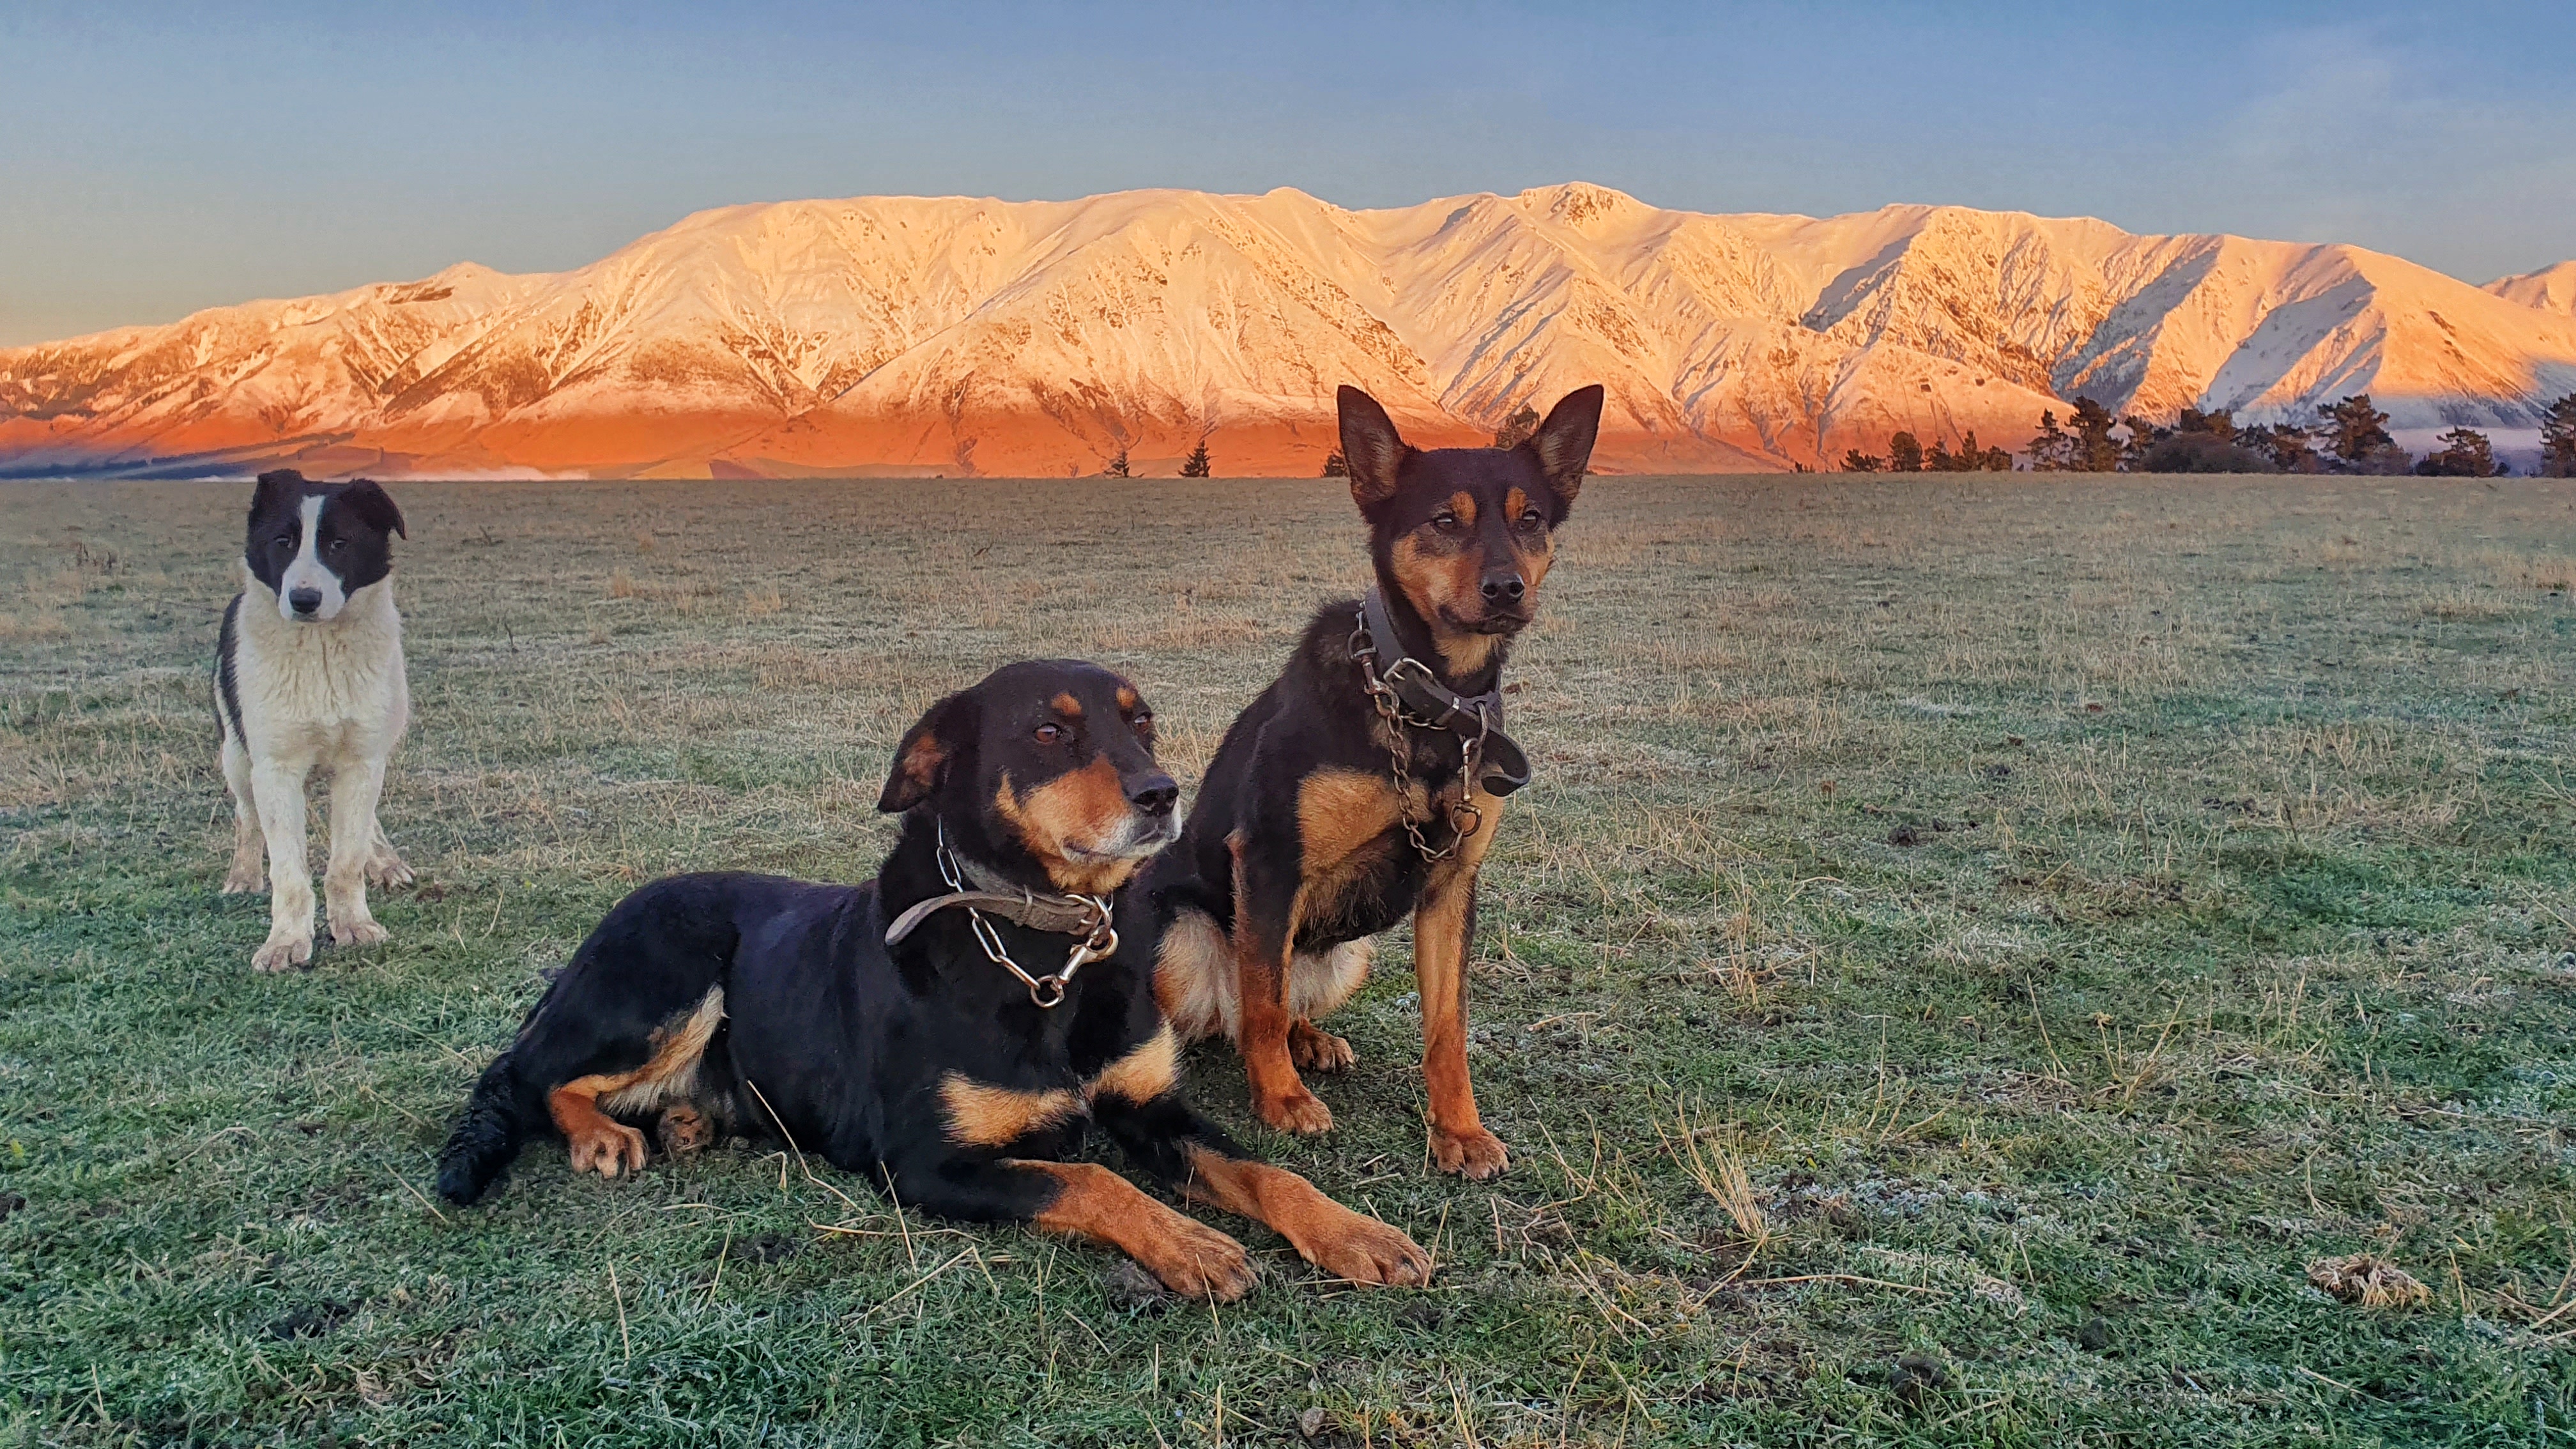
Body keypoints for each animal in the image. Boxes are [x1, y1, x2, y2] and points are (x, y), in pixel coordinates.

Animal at [216, 469, 413, 972]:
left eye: (339, 543)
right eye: (282, 541)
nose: (303, 599)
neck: (320, 650)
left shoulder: (363, 760)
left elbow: (346, 859)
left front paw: (354, 925)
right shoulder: (276, 768)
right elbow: (288, 870)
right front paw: (285, 942)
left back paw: (385, 862)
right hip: (236, 756)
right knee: (246, 816)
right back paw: (243, 874)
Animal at [435, 660, 1430, 1300]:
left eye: (1140, 721)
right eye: (1049, 731)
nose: (1163, 793)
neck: (1040, 949)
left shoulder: (1153, 1110)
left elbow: (1267, 1173)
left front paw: (1356, 1233)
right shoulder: (923, 1163)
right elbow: (1095, 1180)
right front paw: (1191, 1241)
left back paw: (684, 1120)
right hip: (673, 971)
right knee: (532, 1075)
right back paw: (602, 1135)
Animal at [1145, 384, 1602, 1179]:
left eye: (1532, 519)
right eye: (1445, 520)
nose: (1506, 588)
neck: (1429, 700)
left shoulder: (1451, 885)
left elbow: (1447, 1026)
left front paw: (1458, 1130)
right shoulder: (1269, 862)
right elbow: (1262, 1005)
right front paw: (1281, 1102)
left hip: (1347, 955)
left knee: (1278, 1003)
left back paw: (1312, 1041)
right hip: (1181, 935)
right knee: (1238, 1009)